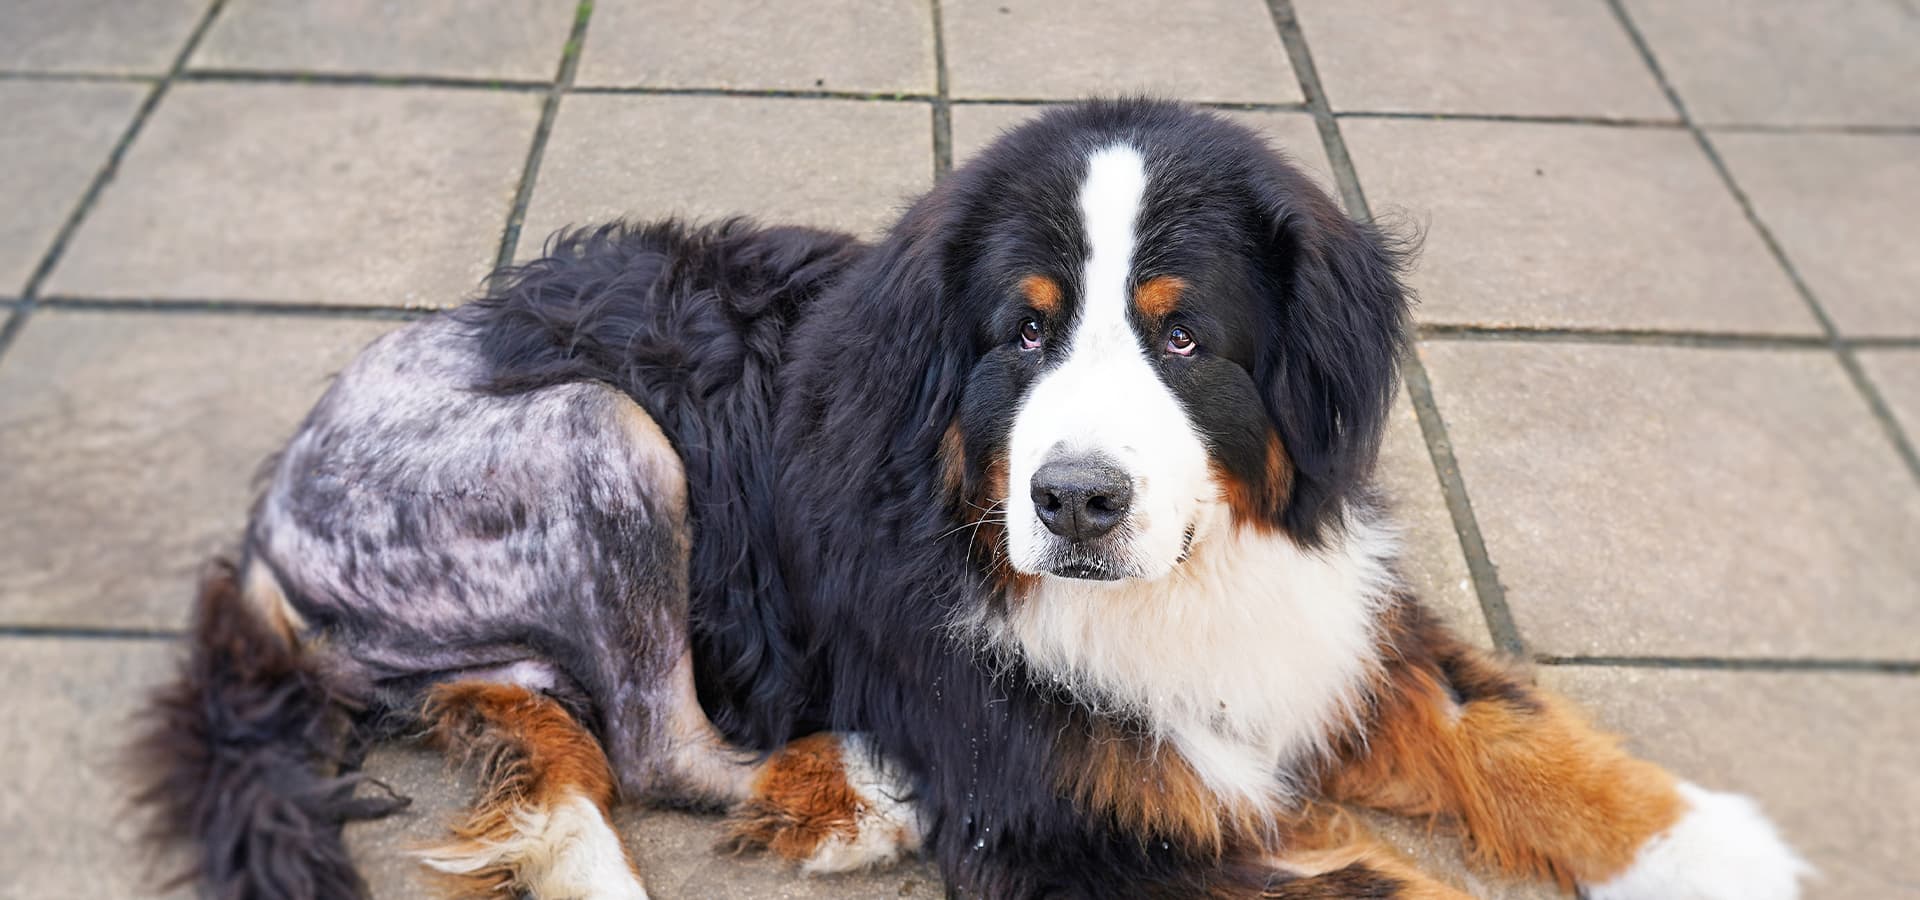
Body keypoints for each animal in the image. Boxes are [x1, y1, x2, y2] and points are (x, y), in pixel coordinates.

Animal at [127, 98, 1804, 898]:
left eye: (1184, 335)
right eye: (1022, 330)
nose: (1076, 503)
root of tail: (266, 523)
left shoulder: (1328, 616)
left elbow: (1504, 729)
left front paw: (1718, 853)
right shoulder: (1075, 831)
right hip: (605, 435)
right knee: (664, 744)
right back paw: (855, 791)